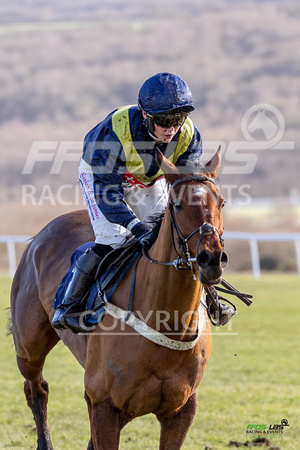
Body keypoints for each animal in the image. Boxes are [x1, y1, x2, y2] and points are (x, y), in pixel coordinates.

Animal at [10, 149, 229, 450]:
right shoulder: (105, 405)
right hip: (29, 346)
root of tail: (39, 237)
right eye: (177, 205)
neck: (167, 322)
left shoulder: (181, 411)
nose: (212, 260)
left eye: (221, 202)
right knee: (36, 388)